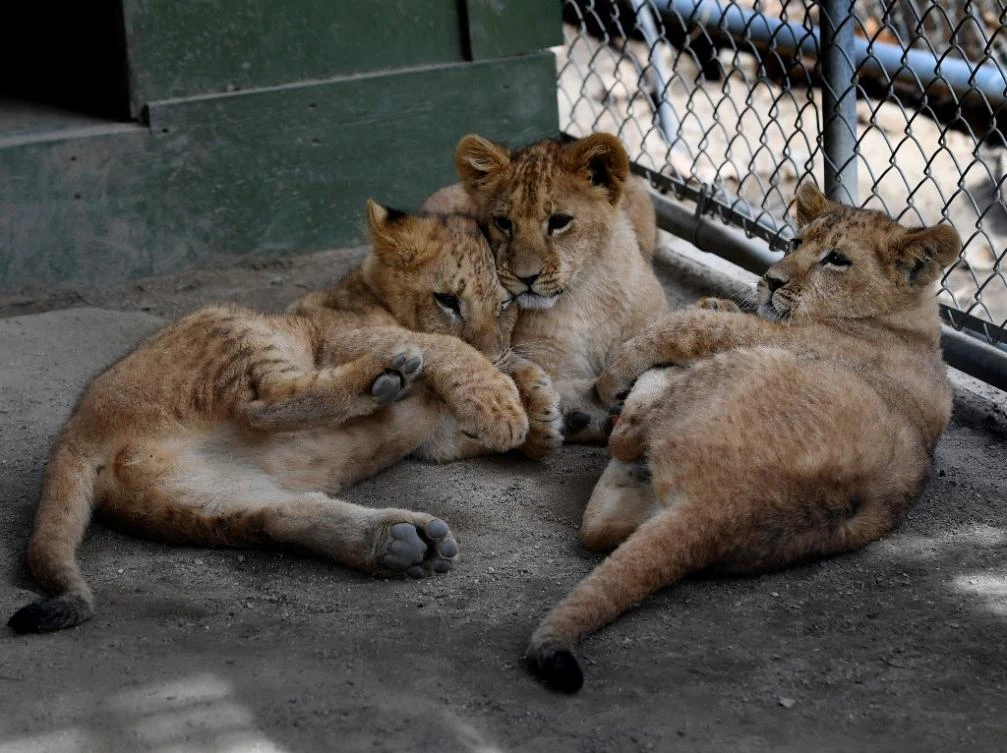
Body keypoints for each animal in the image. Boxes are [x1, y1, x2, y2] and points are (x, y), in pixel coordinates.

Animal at [524, 181, 962, 692]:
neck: (907, 325)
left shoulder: (782, 337)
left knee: (628, 438)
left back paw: (632, 393)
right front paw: (717, 302)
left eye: (836, 259)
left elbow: (696, 326)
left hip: (754, 360)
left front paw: (620, 369)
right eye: (795, 243)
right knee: (598, 527)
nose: (770, 280)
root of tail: (717, 511)